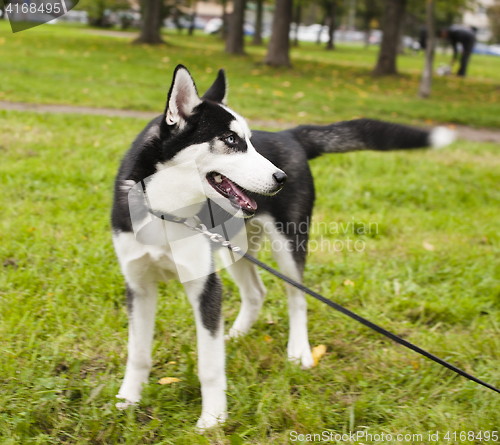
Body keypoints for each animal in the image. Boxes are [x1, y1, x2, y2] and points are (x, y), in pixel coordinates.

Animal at [111, 64, 456, 428]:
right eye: (231, 140)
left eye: (248, 140)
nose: (281, 178)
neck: (166, 211)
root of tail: (290, 135)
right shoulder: (138, 285)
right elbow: (138, 353)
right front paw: (128, 399)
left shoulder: (205, 286)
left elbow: (210, 365)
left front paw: (213, 419)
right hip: (234, 248)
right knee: (255, 293)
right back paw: (234, 336)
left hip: (289, 245)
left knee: (297, 298)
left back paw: (299, 350)